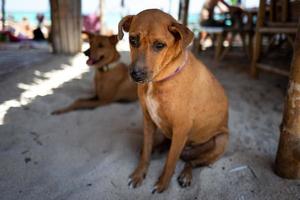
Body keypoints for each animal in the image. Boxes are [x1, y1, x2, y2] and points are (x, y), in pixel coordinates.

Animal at [118, 9, 229, 194]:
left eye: (159, 45)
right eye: (132, 39)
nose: (136, 75)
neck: (158, 81)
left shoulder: (181, 128)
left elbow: (170, 161)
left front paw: (162, 184)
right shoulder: (148, 120)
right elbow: (145, 153)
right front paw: (139, 174)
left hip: (221, 140)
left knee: (192, 162)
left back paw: (186, 175)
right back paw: (158, 149)